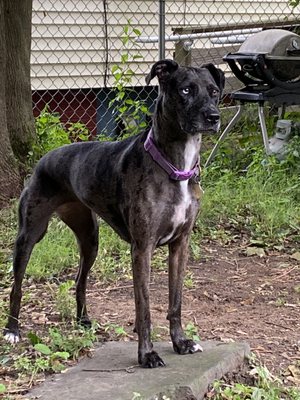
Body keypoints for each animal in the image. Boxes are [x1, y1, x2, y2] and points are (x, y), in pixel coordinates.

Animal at [4, 57, 224, 368]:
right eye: (185, 90)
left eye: (214, 91)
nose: (213, 116)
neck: (173, 166)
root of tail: (44, 159)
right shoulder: (142, 249)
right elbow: (143, 307)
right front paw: (147, 354)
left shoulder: (180, 245)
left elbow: (176, 300)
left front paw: (180, 342)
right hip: (29, 234)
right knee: (17, 285)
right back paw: (12, 330)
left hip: (89, 238)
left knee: (79, 280)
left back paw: (83, 321)